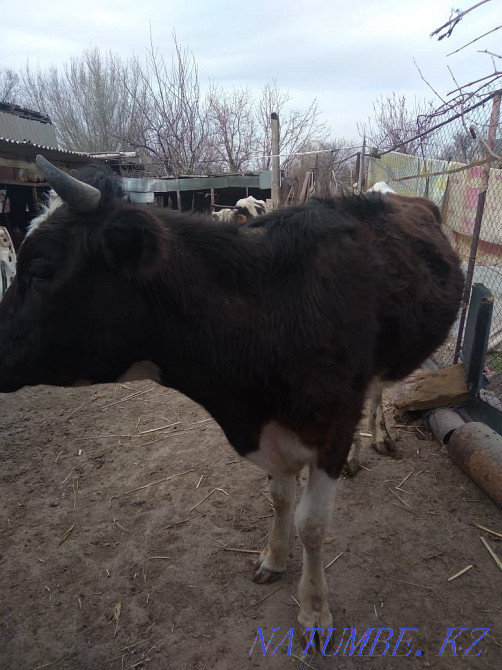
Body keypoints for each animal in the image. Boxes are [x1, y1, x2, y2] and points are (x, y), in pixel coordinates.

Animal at [0, 155, 464, 642]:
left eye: (39, 271)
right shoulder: (271, 432)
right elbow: (280, 501)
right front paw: (273, 558)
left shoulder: (328, 429)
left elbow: (312, 525)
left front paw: (314, 609)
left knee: (375, 392)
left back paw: (380, 438)